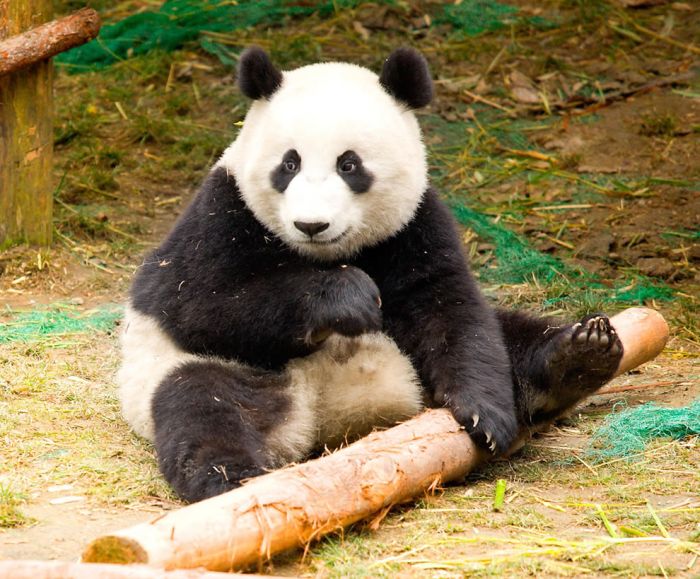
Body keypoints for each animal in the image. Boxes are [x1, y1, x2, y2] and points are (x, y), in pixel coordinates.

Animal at [119, 47, 624, 502]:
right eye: (289, 163)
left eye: (349, 164)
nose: (311, 224)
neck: (325, 254)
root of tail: (325, 417)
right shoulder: (220, 213)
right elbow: (199, 301)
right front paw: (348, 297)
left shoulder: (414, 223)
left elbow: (449, 308)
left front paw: (485, 413)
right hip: (202, 372)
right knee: (202, 408)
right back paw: (231, 480)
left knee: (507, 334)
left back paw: (581, 354)